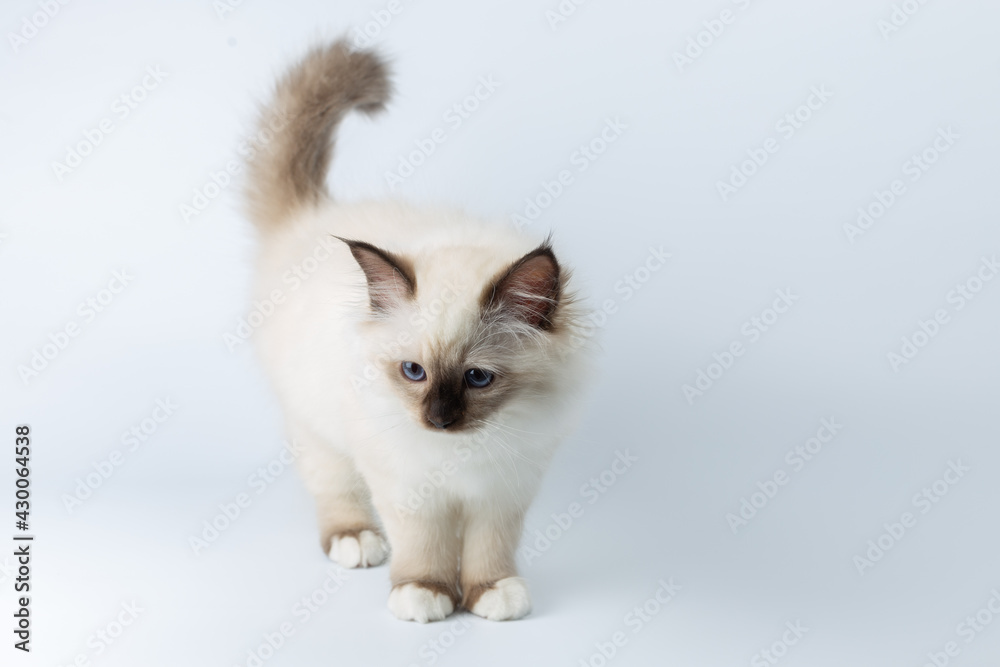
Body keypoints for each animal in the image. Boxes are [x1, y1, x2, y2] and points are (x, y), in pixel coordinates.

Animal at [247, 40, 588, 628]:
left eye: (478, 378)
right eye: (413, 371)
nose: (438, 420)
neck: (461, 454)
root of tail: (313, 215)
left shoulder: (504, 490)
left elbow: (489, 548)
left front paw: (491, 594)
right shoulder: (408, 487)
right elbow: (424, 546)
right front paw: (425, 594)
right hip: (316, 426)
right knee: (333, 485)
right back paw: (356, 540)